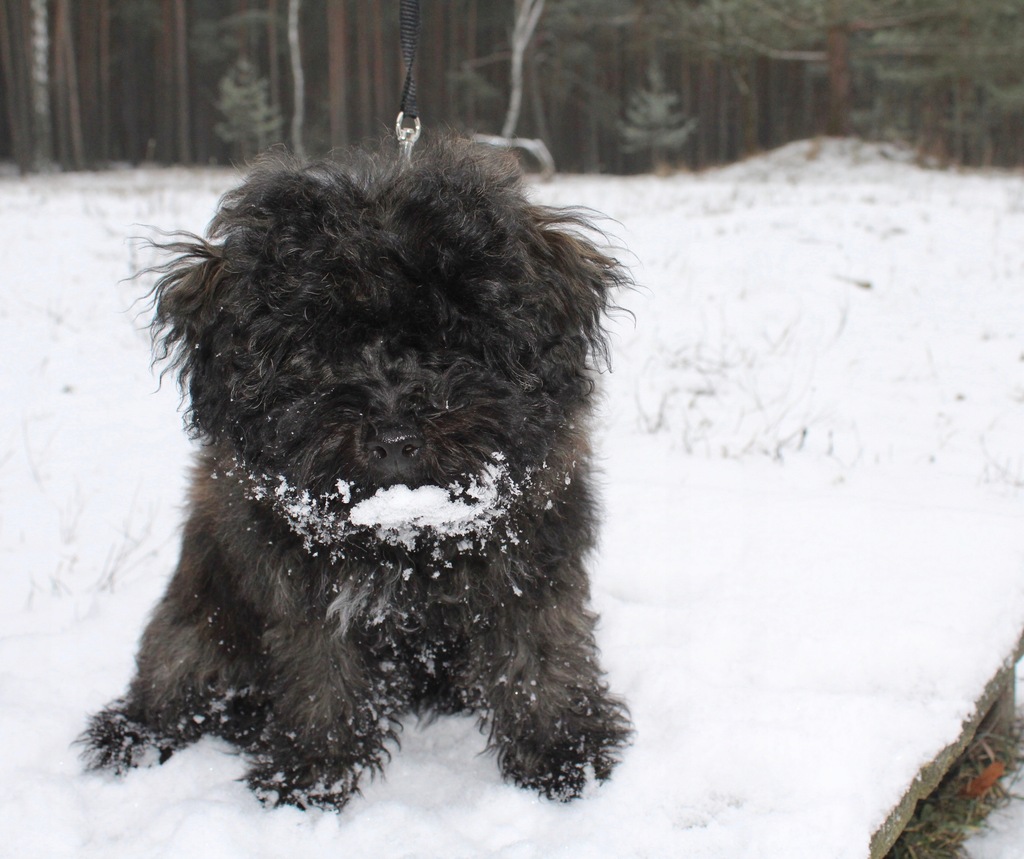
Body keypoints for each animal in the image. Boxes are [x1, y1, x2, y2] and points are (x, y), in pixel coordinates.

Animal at [83, 138, 630, 810]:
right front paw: (311, 776)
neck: (410, 536)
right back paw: (132, 737)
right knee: (175, 677)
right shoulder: (304, 588)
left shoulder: (534, 560)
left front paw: (562, 752)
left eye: (455, 338)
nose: (394, 438)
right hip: (197, 618)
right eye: (315, 348)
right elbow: (321, 676)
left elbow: (543, 656)